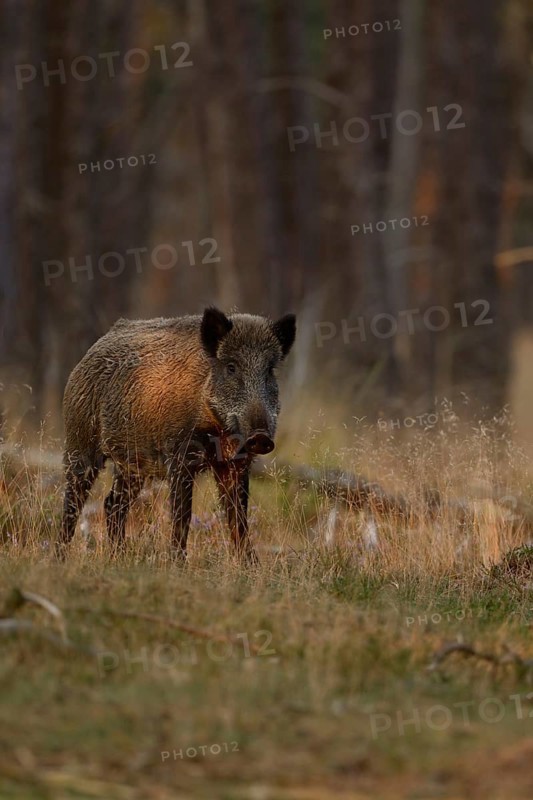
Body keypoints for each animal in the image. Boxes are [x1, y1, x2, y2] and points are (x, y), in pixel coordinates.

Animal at [57, 307, 296, 562]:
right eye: (231, 367)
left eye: (269, 370)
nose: (260, 437)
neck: (217, 427)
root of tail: (89, 353)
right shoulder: (180, 458)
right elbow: (183, 516)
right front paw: (178, 564)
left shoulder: (235, 464)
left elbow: (239, 519)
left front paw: (251, 565)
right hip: (79, 445)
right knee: (72, 504)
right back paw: (59, 558)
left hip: (131, 465)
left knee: (112, 503)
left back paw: (119, 557)